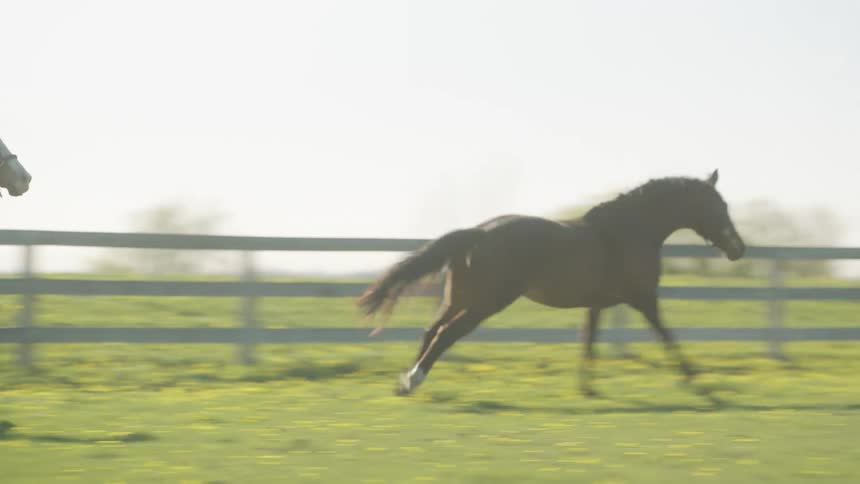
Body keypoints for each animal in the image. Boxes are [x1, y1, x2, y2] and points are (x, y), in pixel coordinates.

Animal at [357, 170, 745, 396]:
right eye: (718, 206)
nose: (738, 249)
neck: (630, 231)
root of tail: (476, 233)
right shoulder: (644, 298)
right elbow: (667, 336)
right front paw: (694, 380)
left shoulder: (598, 304)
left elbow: (589, 343)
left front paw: (587, 388)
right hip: (487, 302)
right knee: (444, 334)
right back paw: (413, 380)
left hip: (459, 298)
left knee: (429, 330)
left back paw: (405, 381)